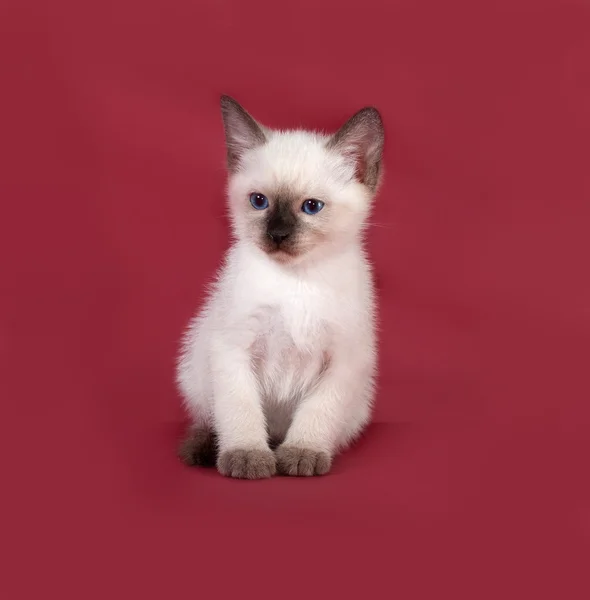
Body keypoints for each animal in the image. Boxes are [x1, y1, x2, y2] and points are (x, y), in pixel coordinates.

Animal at [178, 96, 386, 478]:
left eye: (312, 207)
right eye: (259, 201)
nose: (277, 235)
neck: (297, 280)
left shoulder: (343, 358)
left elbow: (318, 412)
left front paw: (303, 453)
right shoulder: (233, 349)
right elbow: (240, 411)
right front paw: (247, 456)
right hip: (195, 369)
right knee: (210, 420)